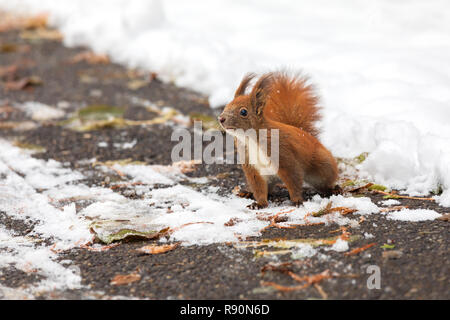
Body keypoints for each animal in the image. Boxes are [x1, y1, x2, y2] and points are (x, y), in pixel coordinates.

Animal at [218, 71, 338, 209]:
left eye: (243, 112)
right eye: (226, 106)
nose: (221, 118)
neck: (250, 139)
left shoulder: (284, 156)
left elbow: (293, 180)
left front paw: (297, 200)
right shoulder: (251, 166)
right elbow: (258, 187)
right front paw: (260, 203)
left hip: (322, 167)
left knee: (325, 182)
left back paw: (333, 189)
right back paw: (248, 192)